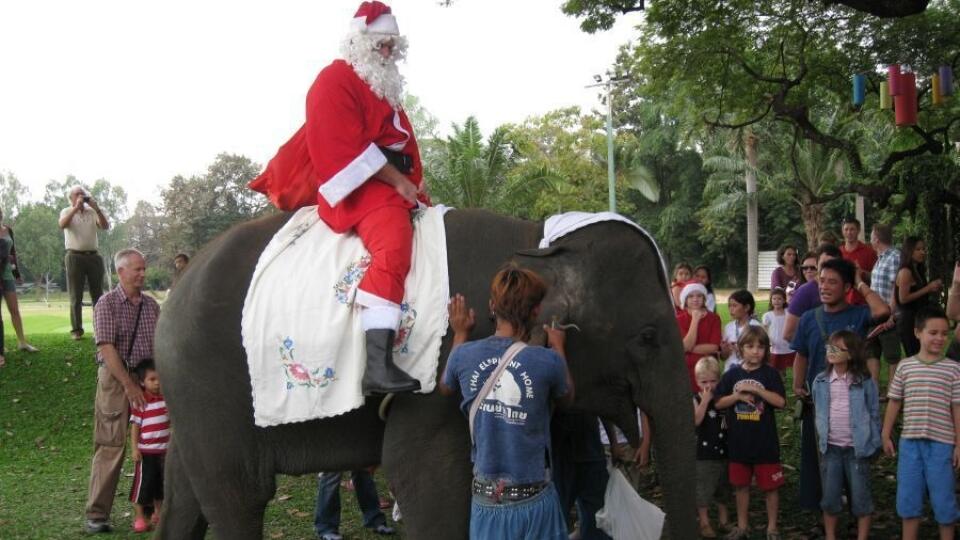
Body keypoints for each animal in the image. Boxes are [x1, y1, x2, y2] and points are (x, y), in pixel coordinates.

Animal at [158, 209, 696, 536]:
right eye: (648, 337)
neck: (533, 245)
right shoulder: (436, 376)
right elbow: (421, 475)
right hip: (209, 386)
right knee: (239, 496)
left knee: (184, 493)